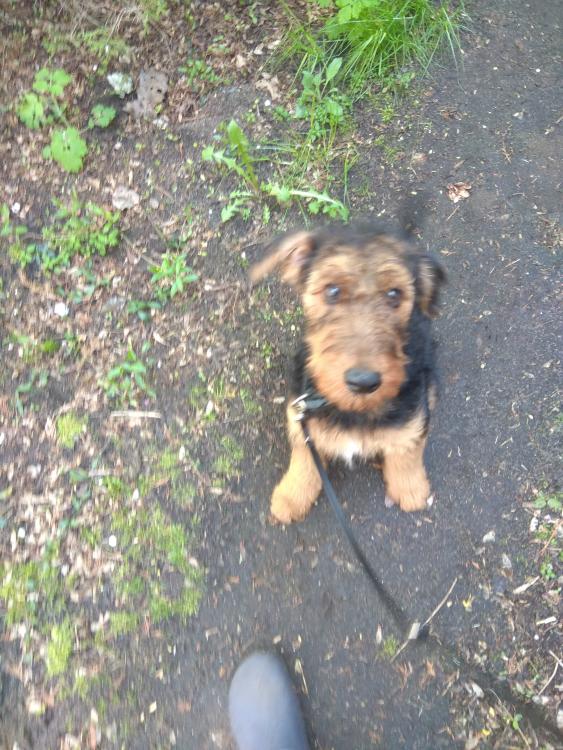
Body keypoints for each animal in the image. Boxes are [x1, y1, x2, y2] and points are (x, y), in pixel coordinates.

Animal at [250, 220, 445, 524]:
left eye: (394, 294)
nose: (363, 383)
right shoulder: (302, 419)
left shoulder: (409, 421)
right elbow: (304, 462)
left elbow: (407, 453)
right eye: (332, 291)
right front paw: (290, 498)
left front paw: (411, 490)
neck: (353, 409)